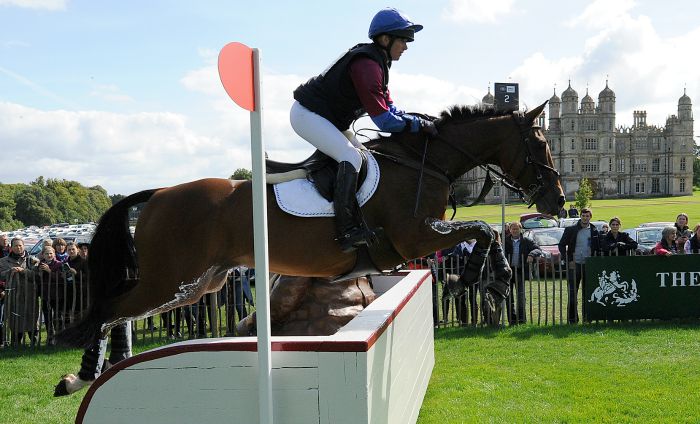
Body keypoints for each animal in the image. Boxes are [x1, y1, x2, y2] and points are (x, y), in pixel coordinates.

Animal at [57, 101, 568, 350]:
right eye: (541, 145)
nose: (558, 199)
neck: (423, 162)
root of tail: (159, 194)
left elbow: (483, 231)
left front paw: (486, 279)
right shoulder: (413, 236)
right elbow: (483, 230)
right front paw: (491, 278)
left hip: (200, 284)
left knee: (114, 313)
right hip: (168, 281)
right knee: (108, 311)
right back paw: (82, 374)